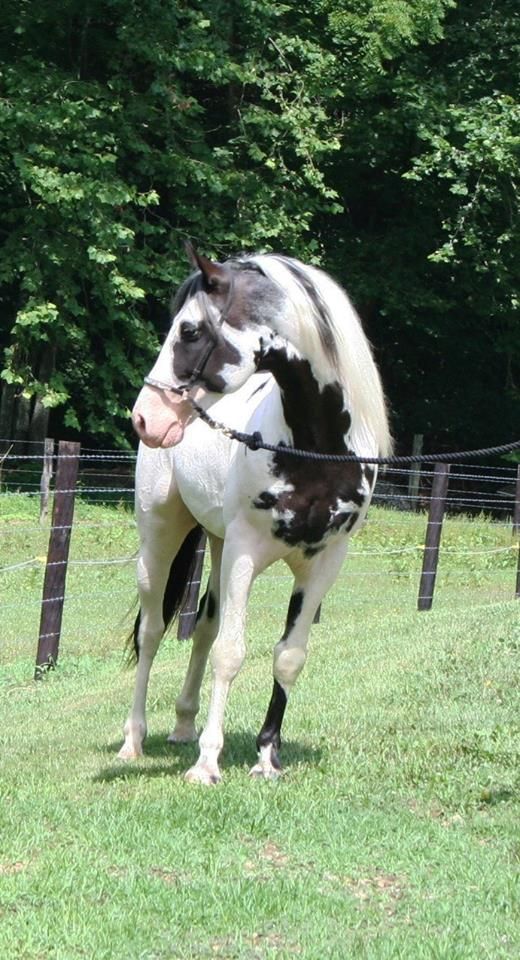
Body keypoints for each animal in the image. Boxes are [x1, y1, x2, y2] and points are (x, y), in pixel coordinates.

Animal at [119, 246, 391, 784]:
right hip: (160, 538)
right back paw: (134, 740)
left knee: (203, 627)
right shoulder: (246, 552)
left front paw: (267, 757)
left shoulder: (324, 563)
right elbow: (231, 652)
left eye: (189, 331)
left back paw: (183, 726)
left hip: (217, 543)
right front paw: (207, 764)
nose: (145, 417)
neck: (315, 451)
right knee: (153, 631)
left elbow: (288, 657)